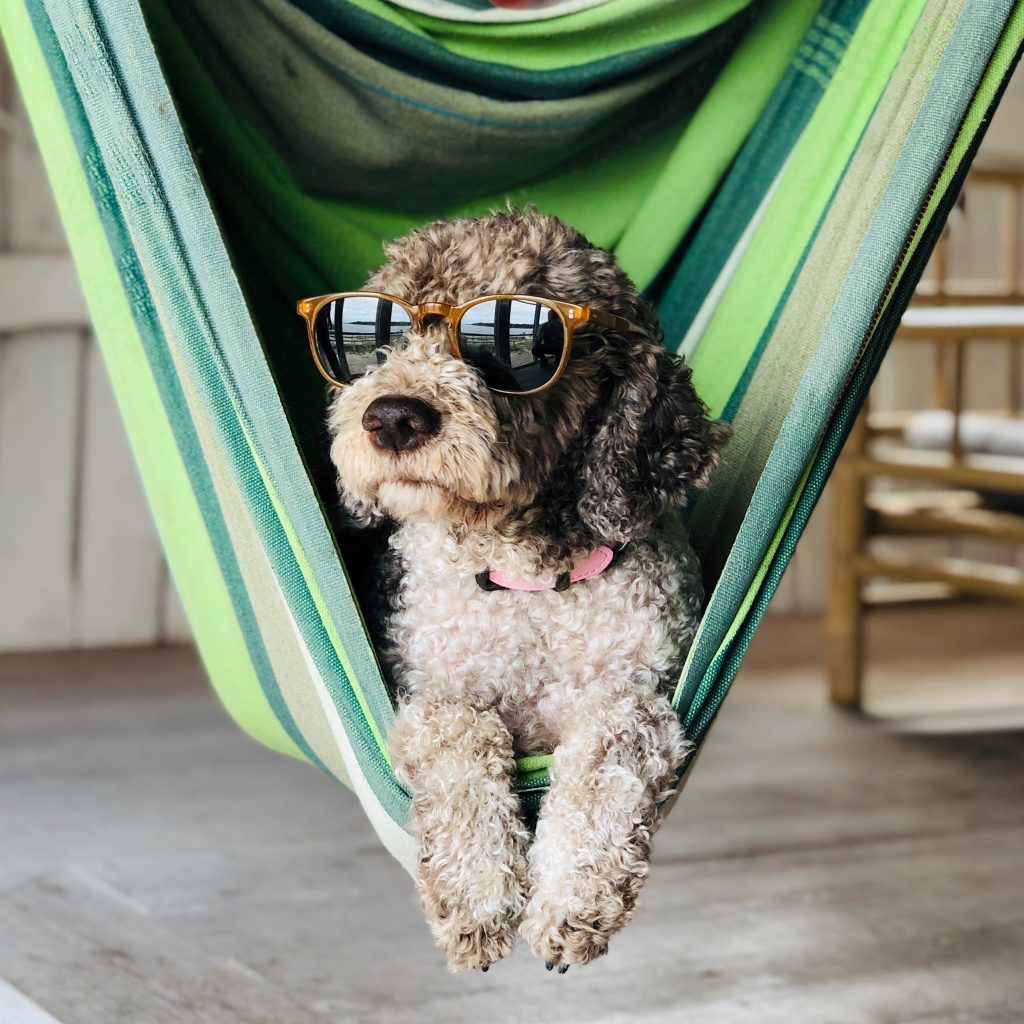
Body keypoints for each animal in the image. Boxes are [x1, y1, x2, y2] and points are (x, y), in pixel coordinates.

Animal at [323, 205, 724, 966]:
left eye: (513, 345)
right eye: (381, 335)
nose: (391, 417)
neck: (527, 588)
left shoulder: (639, 697)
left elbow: (604, 759)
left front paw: (573, 897)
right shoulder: (430, 696)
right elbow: (463, 738)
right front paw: (477, 896)